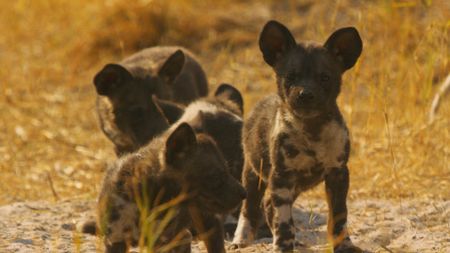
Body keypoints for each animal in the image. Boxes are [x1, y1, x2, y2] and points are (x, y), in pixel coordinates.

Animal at [232, 20, 362, 252]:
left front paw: (344, 245)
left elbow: (339, 217)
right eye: (291, 77)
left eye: (324, 78)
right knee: (250, 207)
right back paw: (241, 239)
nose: (305, 94)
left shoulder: (338, 174)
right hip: (254, 175)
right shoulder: (282, 177)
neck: (312, 131)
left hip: (294, 186)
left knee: (268, 205)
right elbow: (284, 221)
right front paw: (283, 246)